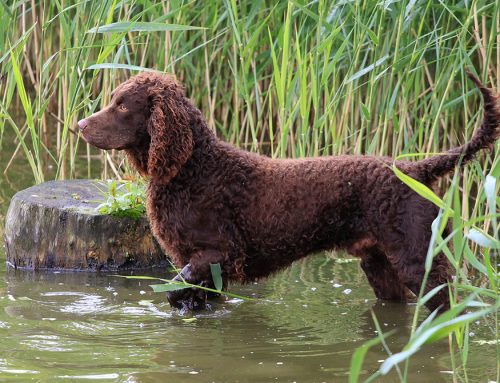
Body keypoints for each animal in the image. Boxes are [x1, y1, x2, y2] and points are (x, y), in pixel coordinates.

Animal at [80, 71, 498, 312]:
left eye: (122, 106)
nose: (80, 125)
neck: (193, 167)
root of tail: (415, 169)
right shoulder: (205, 266)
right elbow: (190, 297)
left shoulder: (219, 253)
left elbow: (174, 288)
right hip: (380, 266)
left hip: (419, 260)